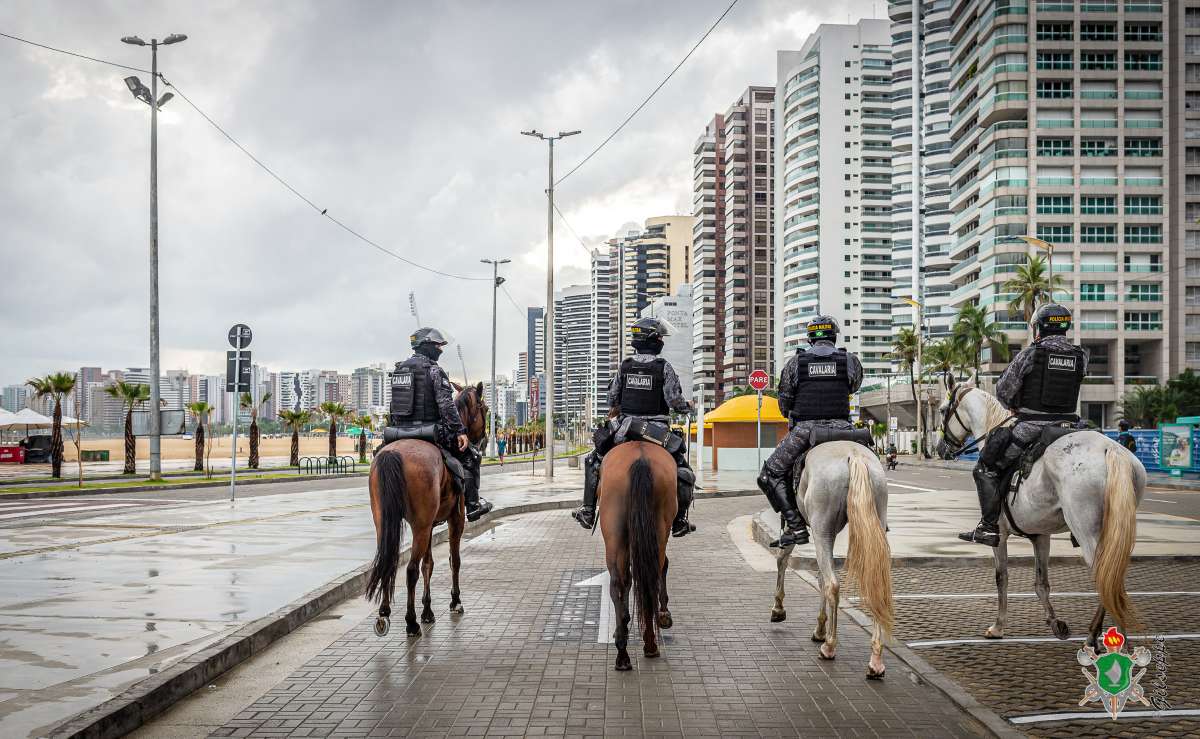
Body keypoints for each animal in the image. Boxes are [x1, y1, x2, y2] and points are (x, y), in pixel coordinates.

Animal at [362, 381, 484, 633]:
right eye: (484, 408)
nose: (484, 438)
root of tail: (393, 452)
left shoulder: (430, 525)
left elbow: (428, 564)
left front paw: (427, 610)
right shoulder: (455, 520)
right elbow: (454, 560)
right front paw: (455, 601)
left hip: (386, 522)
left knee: (389, 560)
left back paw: (384, 612)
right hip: (421, 525)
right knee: (410, 569)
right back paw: (410, 622)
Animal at [597, 441, 681, 671]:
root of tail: (640, 459)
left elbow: (628, 581)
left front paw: (623, 625)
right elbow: (663, 567)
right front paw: (664, 614)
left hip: (615, 534)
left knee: (619, 582)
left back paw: (623, 652)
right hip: (657, 531)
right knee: (646, 578)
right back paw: (648, 645)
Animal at [768, 441, 892, 676]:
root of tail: (854, 455)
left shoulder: (800, 529)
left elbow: (783, 559)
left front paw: (778, 609)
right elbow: (819, 577)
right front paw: (820, 628)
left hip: (821, 531)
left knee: (833, 584)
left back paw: (830, 646)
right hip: (876, 522)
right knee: (875, 586)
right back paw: (876, 660)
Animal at [936, 381, 1142, 647]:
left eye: (942, 410)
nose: (940, 448)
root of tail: (1110, 448)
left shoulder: (1000, 536)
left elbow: (1001, 578)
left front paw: (998, 626)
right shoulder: (1041, 536)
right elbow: (1041, 583)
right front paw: (1055, 623)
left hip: (1088, 532)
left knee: (1105, 577)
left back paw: (1107, 638)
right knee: (1114, 578)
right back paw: (1107, 636)